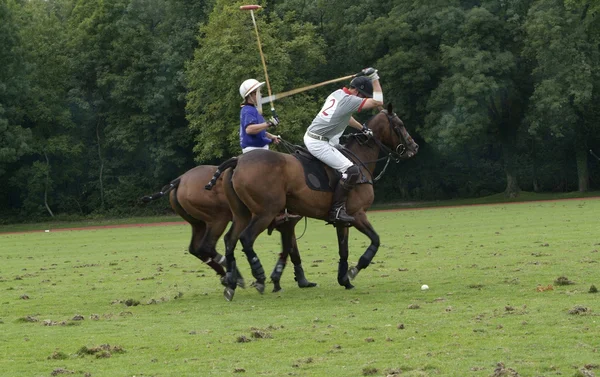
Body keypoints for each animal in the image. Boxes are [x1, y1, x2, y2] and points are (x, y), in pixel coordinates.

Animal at [141, 164, 318, 290]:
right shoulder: (288, 223)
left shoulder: (287, 225)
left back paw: (225, 276)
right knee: (207, 246)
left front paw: (302, 281)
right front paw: (278, 280)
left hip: (198, 223)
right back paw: (234, 275)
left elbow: (292, 251)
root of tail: (179, 180)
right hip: (218, 218)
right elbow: (289, 250)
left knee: (195, 249)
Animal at [209, 103, 420, 300]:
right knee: (246, 238)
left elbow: (343, 250)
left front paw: (344, 280)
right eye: (399, 125)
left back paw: (231, 284)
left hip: (242, 214)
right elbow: (375, 240)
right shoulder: (358, 214)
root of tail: (238, 160)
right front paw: (354, 270)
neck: (360, 161)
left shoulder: (342, 221)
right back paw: (259, 277)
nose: (414, 147)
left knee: (230, 239)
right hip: (265, 212)